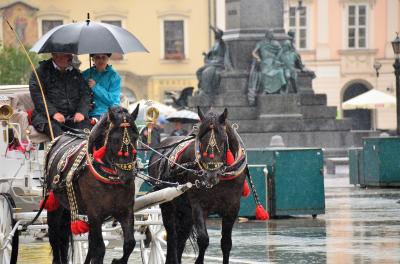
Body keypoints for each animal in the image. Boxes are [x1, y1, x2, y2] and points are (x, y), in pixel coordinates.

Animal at [44, 105, 139, 264]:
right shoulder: (95, 214)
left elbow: (129, 243)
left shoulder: (125, 211)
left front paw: (118, 260)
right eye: (114, 139)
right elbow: (99, 249)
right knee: (55, 236)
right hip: (54, 204)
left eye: (136, 137)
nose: (127, 176)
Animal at [148, 107, 245, 264]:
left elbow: (226, 243)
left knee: (180, 238)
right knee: (172, 236)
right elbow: (203, 239)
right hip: (167, 204)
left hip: (185, 212)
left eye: (223, 141)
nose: (210, 175)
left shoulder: (232, 208)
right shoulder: (198, 205)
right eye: (201, 141)